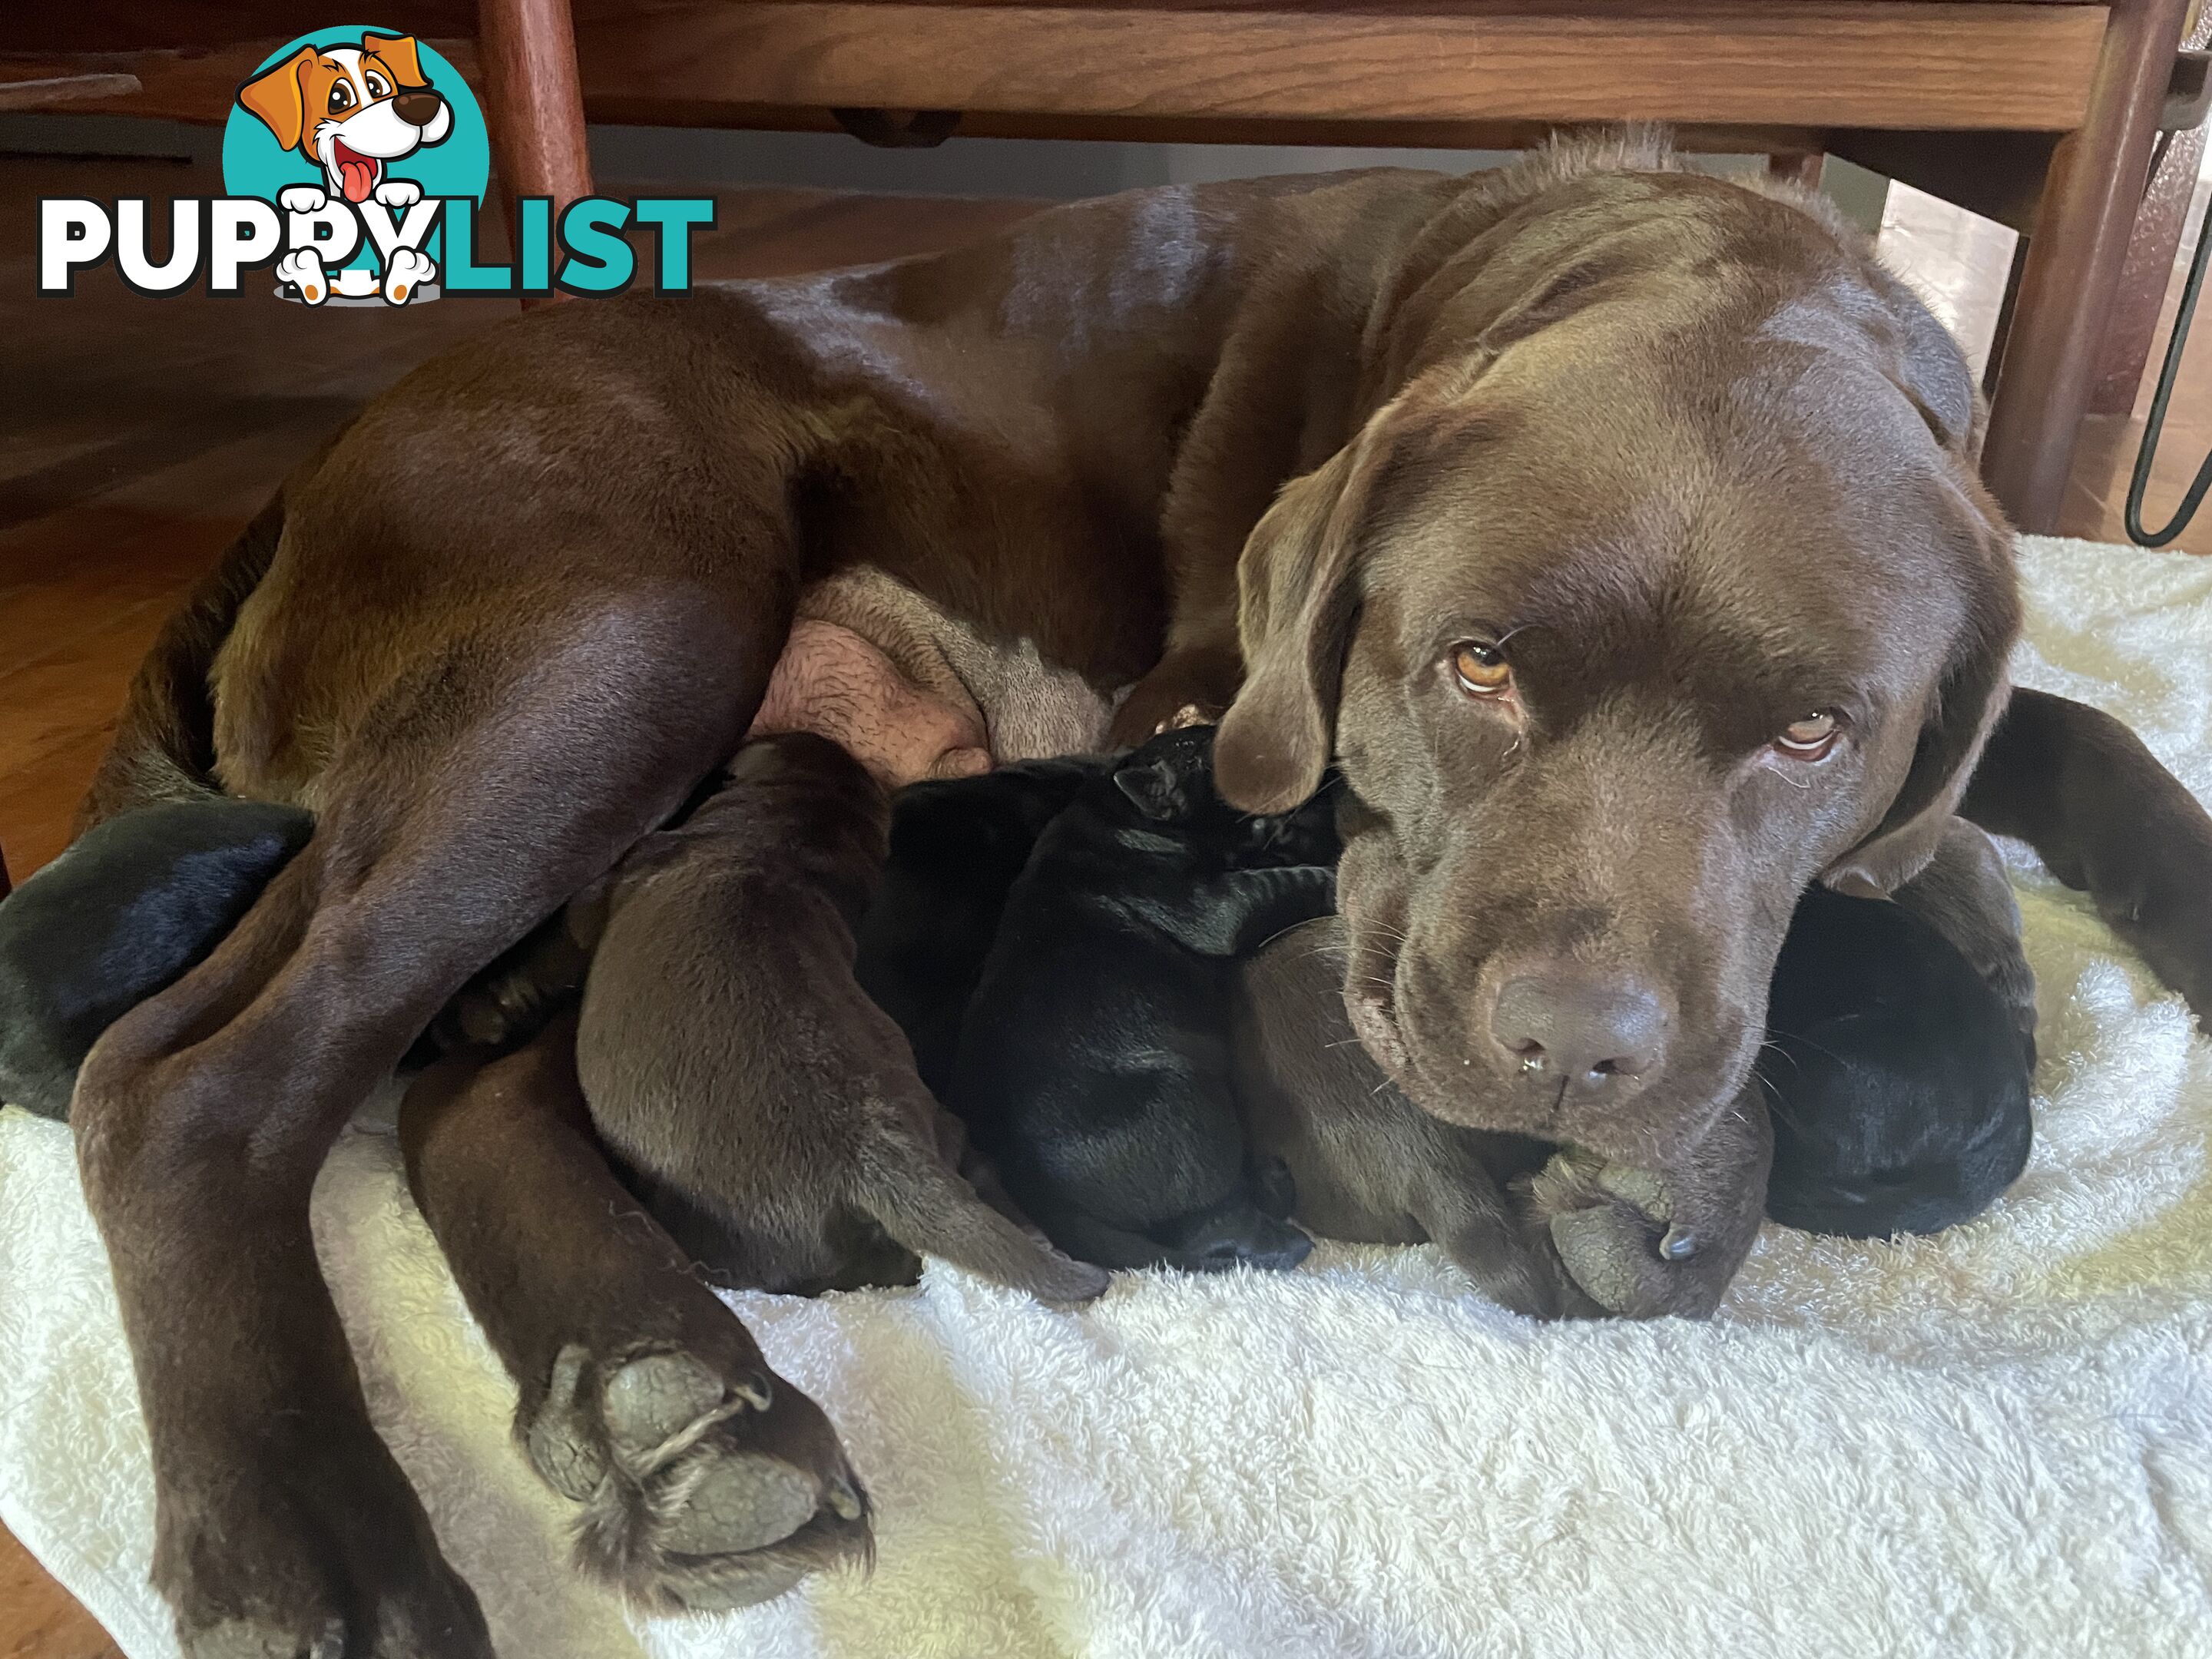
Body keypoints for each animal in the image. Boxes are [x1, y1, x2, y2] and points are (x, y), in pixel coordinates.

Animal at [946, 725, 1327, 1273]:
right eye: (1202, 758)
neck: (1119, 815)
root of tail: (1033, 1186)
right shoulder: (1213, 906)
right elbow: (1286, 882)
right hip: (1189, 1110)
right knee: (1213, 1227)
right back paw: (1285, 1224)